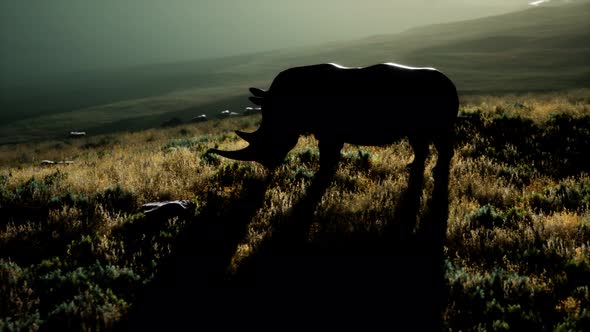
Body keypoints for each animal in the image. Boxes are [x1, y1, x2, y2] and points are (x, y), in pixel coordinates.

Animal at [208, 63, 462, 175]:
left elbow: (327, 152)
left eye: (271, 138)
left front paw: (323, 174)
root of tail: (451, 84)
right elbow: (329, 152)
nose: (269, 165)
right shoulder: (327, 130)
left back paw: (435, 172)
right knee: (419, 138)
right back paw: (413, 168)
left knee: (437, 135)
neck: (283, 107)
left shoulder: (330, 130)